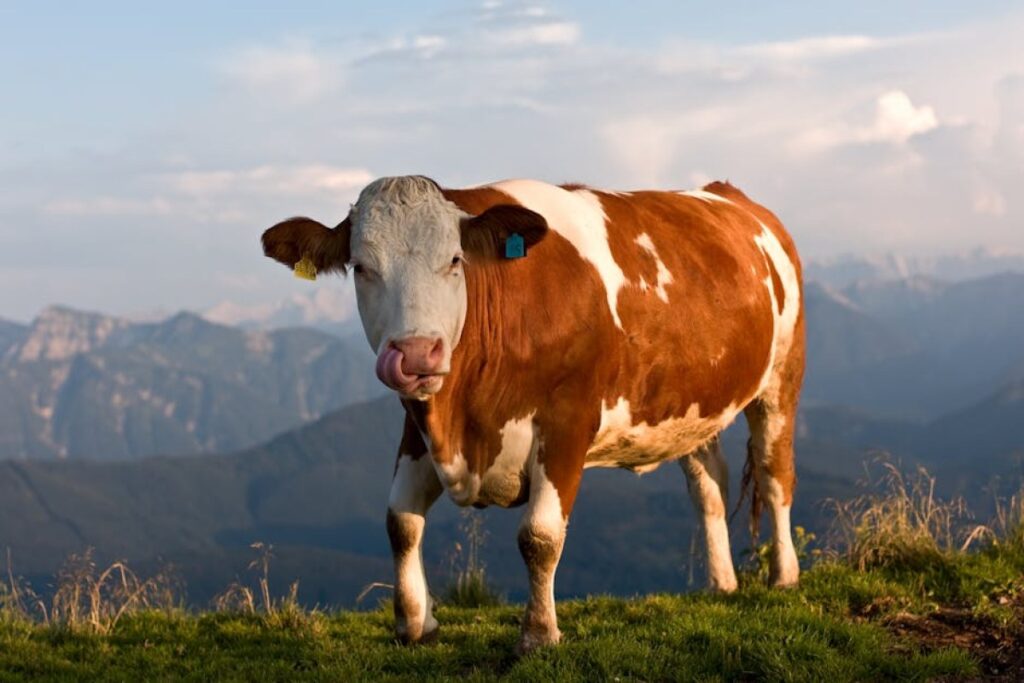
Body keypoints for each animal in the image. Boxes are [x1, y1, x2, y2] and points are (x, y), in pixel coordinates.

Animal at [261, 175, 805, 654]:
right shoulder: (418, 423)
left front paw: (539, 634)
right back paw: (721, 583)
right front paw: (415, 624)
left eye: (455, 260)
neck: (466, 421)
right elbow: (401, 522)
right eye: (360, 267)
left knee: (774, 473)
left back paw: (784, 575)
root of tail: (733, 196)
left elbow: (539, 537)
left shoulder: (567, 422)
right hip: (692, 405)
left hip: (782, 376)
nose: (415, 354)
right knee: (708, 484)